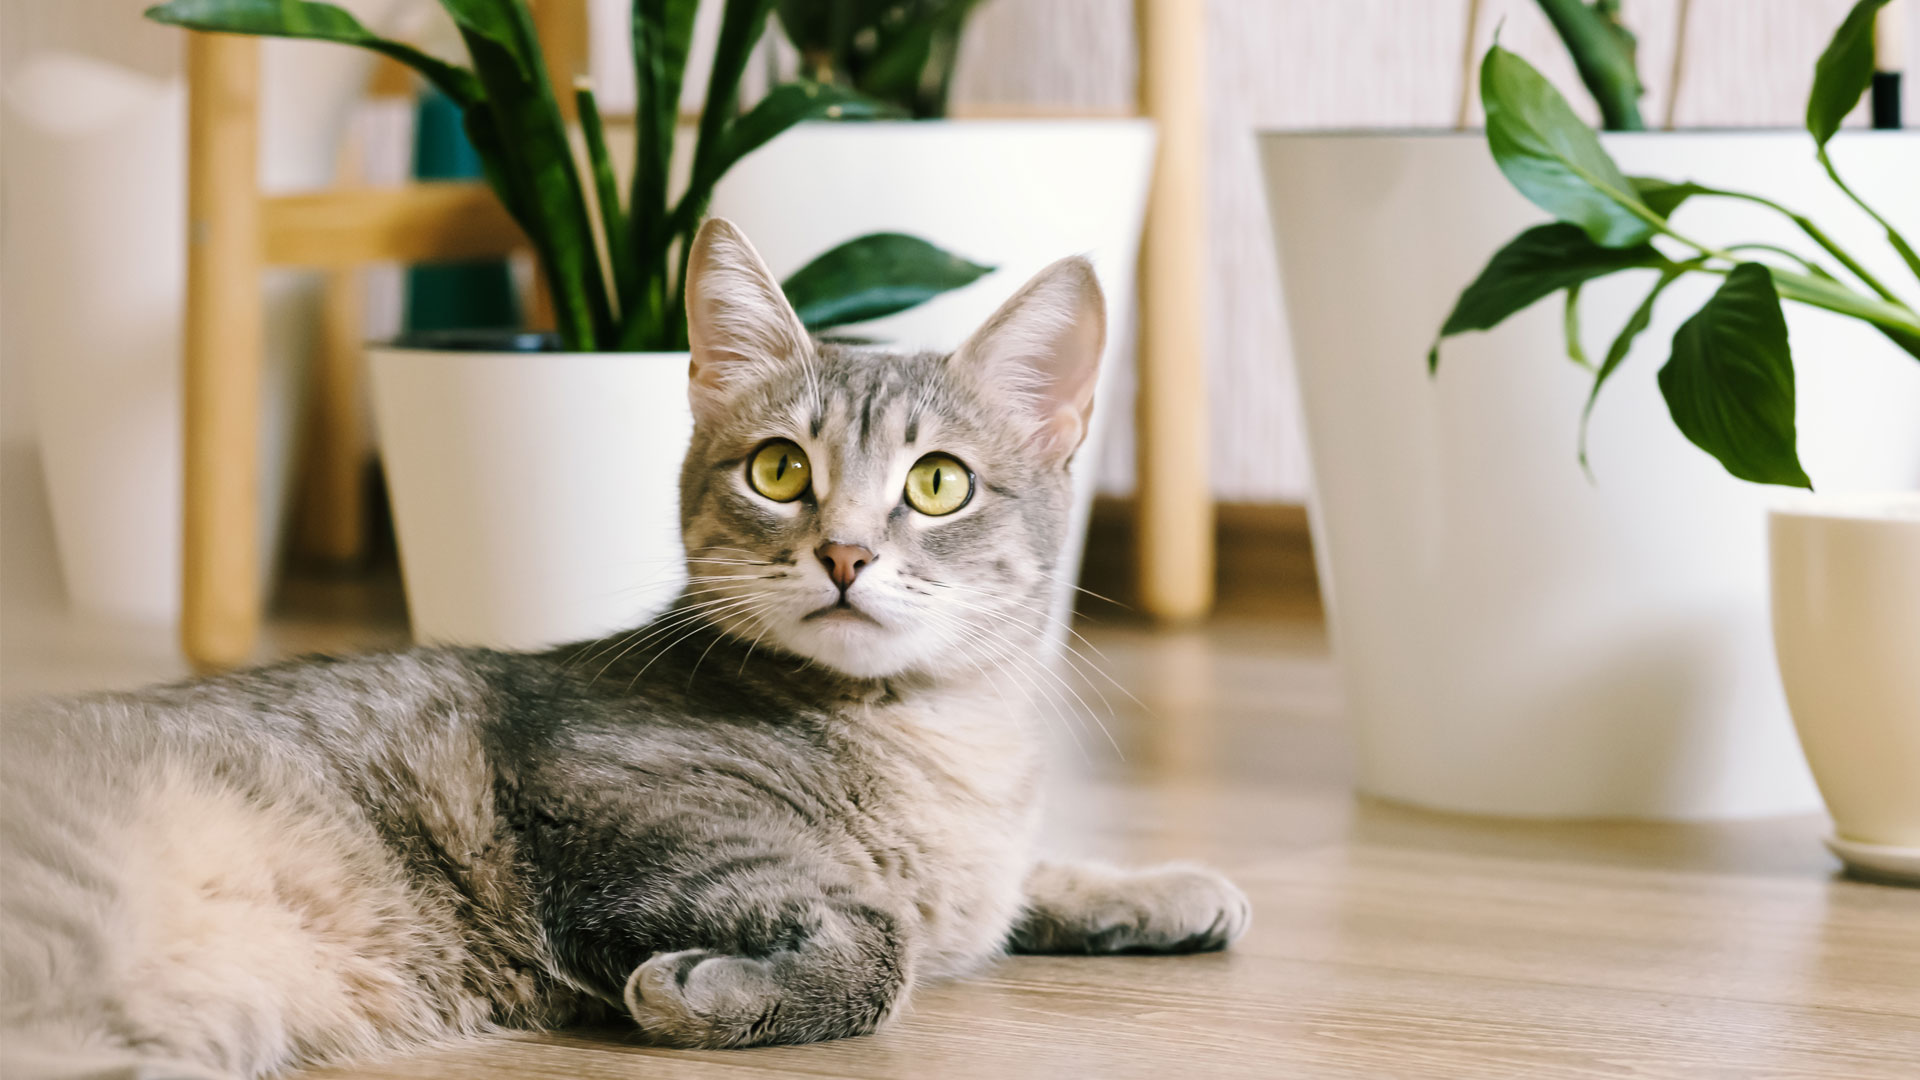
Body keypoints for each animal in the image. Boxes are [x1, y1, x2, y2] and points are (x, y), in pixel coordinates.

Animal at [0, 219, 1251, 1076]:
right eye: (780, 469)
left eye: (939, 483)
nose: (845, 554)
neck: (947, 742)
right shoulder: (626, 824)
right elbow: (880, 946)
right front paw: (707, 994)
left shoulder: (972, 867)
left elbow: (1005, 885)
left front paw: (1154, 886)